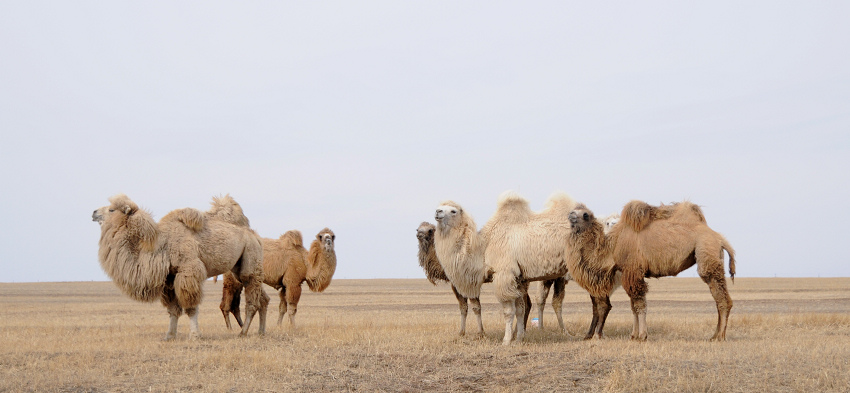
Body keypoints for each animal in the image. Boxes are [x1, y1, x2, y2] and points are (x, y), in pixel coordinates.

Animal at [91, 194, 266, 340]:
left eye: (111, 209)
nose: (93, 212)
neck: (161, 247)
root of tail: (253, 235)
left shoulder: (188, 271)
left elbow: (190, 307)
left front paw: (195, 336)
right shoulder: (169, 279)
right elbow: (173, 310)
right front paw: (169, 335)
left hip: (251, 256)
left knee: (252, 299)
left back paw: (243, 332)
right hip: (239, 267)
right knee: (262, 298)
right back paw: (261, 331)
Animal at [438, 191, 576, 344]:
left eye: (453, 211)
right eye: (439, 207)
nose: (437, 212)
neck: (485, 246)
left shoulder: (504, 274)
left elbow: (509, 311)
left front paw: (506, 340)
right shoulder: (519, 279)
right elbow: (521, 309)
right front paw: (519, 338)